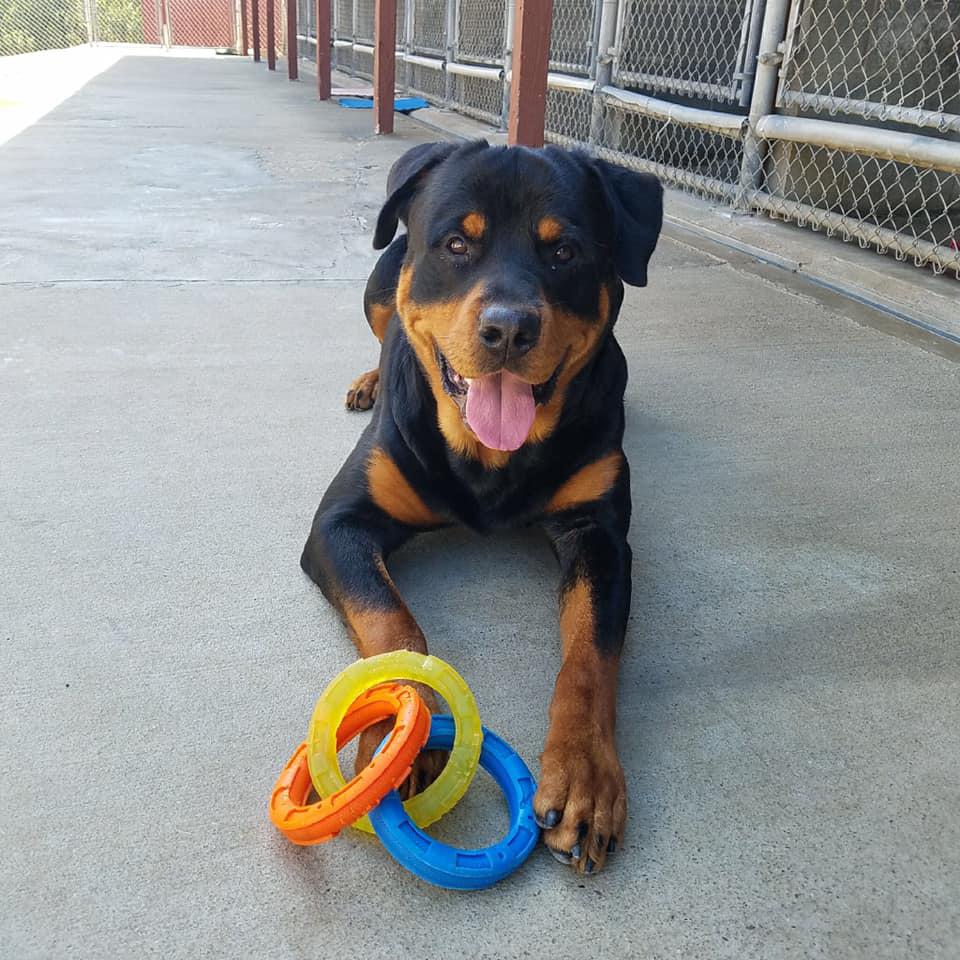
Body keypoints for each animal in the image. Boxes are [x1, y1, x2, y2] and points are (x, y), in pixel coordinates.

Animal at [300, 139, 660, 872]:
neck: (490, 458)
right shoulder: (340, 525)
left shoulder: (599, 535)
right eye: (457, 244)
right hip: (377, 282)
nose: (508, 329)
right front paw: (398, 733)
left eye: (564, 252)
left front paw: (584, 777)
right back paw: (367, 379)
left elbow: (589, 656)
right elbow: (394, 624)